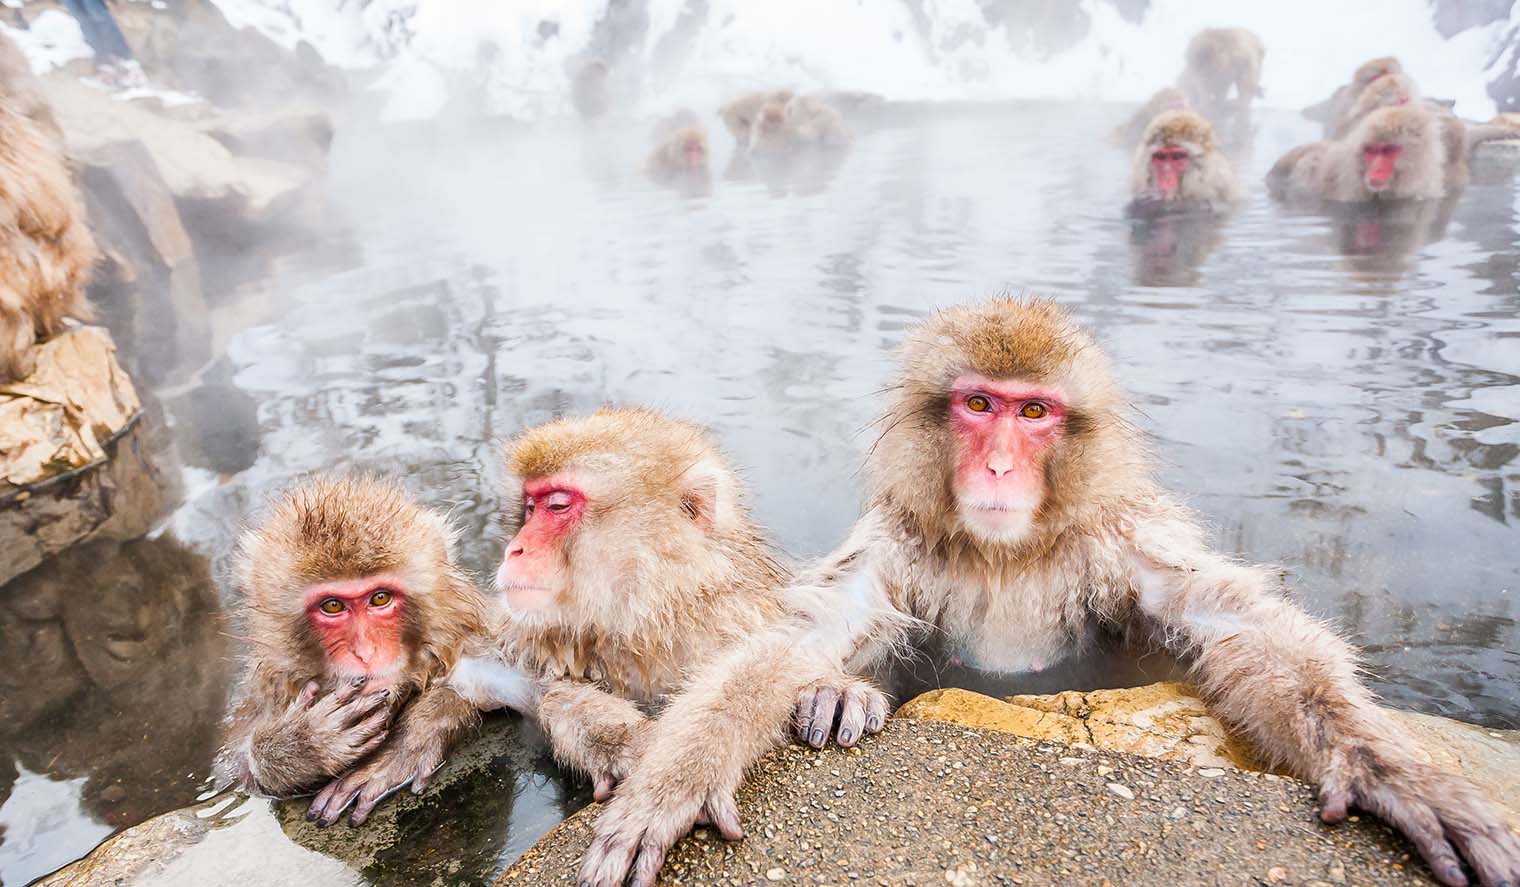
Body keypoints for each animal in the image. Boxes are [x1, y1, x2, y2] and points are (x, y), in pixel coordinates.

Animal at [218, 476, 486, 826]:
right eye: (332, 605)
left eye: (380, 598)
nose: (365, 653)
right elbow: (236, 777)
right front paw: (301, 746)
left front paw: (405, 744)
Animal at [580, 297, 1520, 887]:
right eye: (979, 405)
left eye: (1033, 414)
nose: (999, 463)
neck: (1010, 554)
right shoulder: (898, 543)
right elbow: (796, 639)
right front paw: (673, 784)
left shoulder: (1123, 538)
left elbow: (1233, 625)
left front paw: (1392, 771)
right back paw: (838, 700)